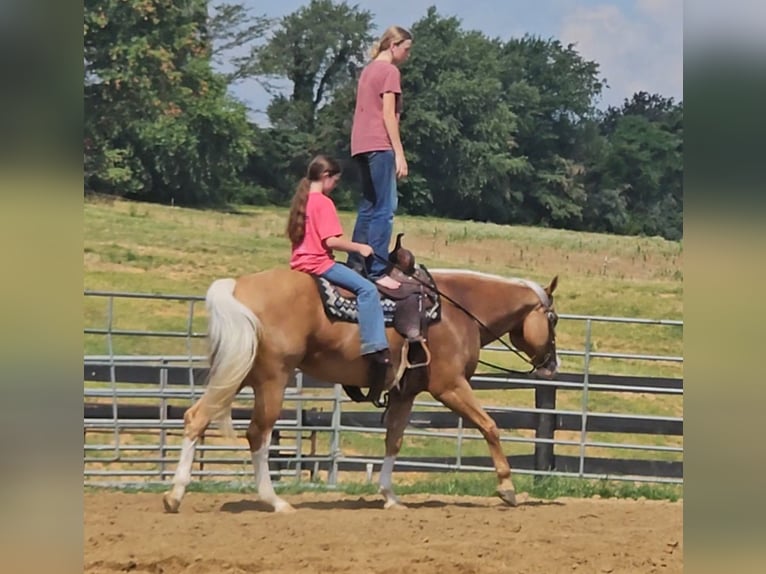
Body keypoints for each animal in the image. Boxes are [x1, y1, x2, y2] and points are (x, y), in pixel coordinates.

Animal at [164, 268, 560, 516]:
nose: (551, 364)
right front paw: (507, 488)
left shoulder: (404, 393)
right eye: (553, 319)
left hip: (241, 371)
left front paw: (389, 497)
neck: (456, 310)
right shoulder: (450, 386)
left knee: (196, 417)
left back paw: (175, 494)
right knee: (258, 434)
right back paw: (275, 501)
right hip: (272, 379)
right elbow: (489, 426)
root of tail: (237, 287)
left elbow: (394, 440)